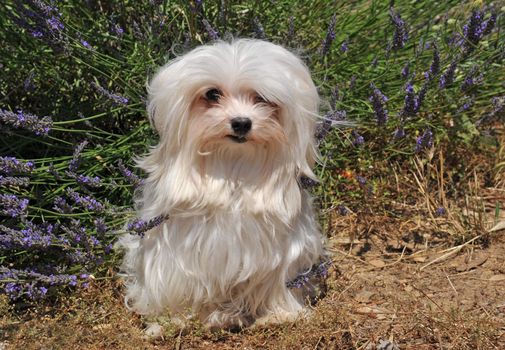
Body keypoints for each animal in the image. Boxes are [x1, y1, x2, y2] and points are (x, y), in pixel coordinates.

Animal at [117, 39, 322, 330]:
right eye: (212, 94)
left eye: (262, 98)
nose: (241, 122)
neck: (231, 167)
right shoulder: (177, 254)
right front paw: (171, 321)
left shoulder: (282, 252)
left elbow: (277, 282)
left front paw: (281, 314)